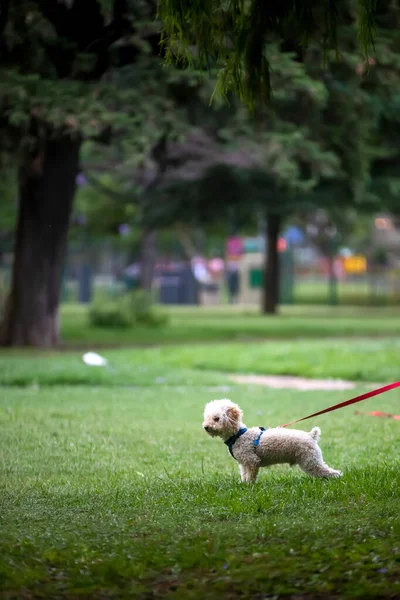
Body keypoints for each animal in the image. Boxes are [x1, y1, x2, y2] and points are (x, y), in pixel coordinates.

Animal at [205, 398, 342, 482]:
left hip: (310, 460)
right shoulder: (244, 463)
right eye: (207, 417)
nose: (206, 427)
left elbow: (251, 477)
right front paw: (243, 485)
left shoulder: (252, 461)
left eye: (216, 418)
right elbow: (244, 475)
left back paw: (337, 478)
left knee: (329, 472)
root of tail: (311, 436)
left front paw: (249, 486)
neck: (238, 435)